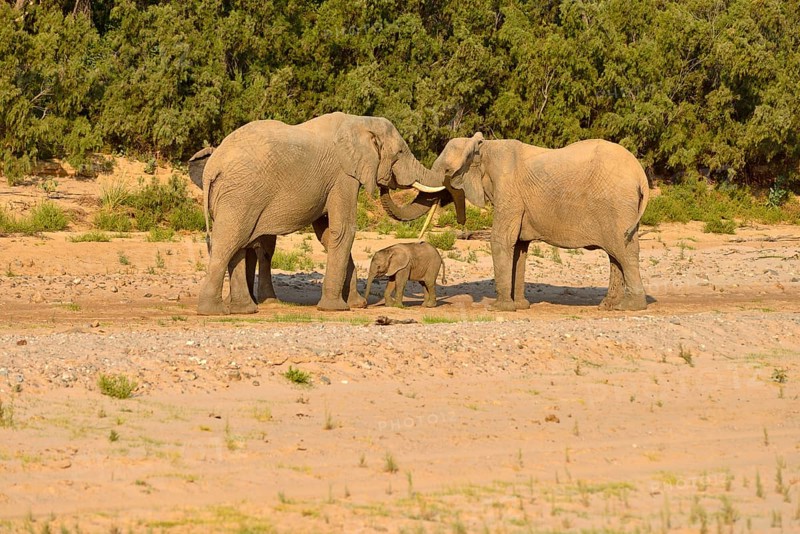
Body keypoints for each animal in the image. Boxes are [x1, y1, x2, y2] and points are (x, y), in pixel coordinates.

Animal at [192, 112, 453, 315]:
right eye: (399, 152)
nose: (385, 183)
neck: (358, 121)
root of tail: (212, 168)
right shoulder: (343, 175)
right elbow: (343, 230)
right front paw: (336, 309)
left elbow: (328, 234)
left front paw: (355, 305)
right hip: (241, 194)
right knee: (229, 241)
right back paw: (213, 311)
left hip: (232, 196)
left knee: (237, 244)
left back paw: (244, 310)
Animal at [431, 133, 650, 312]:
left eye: (447, 170)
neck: (486, 147)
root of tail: (640, 174)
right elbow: (519, 247)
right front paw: (520, 306)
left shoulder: (509, 191)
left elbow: (502, 240)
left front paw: (498, 308)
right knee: (616, 254)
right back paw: (608, 306)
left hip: (618, 205)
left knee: (624, 251)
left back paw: (630, 307)